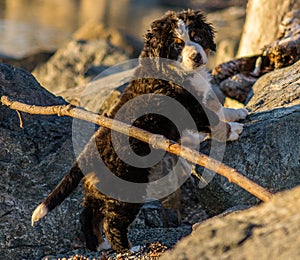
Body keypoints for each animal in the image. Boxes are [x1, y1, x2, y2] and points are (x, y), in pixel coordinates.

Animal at [31, 9, 248, 252]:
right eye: (177, 45)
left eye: (197, 36)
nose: (196, 57)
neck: (171, 70)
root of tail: (86, 155)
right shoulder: (188, 107)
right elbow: (210, 118)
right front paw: (232, 130)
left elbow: (216, 108)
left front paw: (236, 113)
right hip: (126, 189)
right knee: (113, 222)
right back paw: (127, 248)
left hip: (98, 190)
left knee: (88, 215)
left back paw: (99, 245)